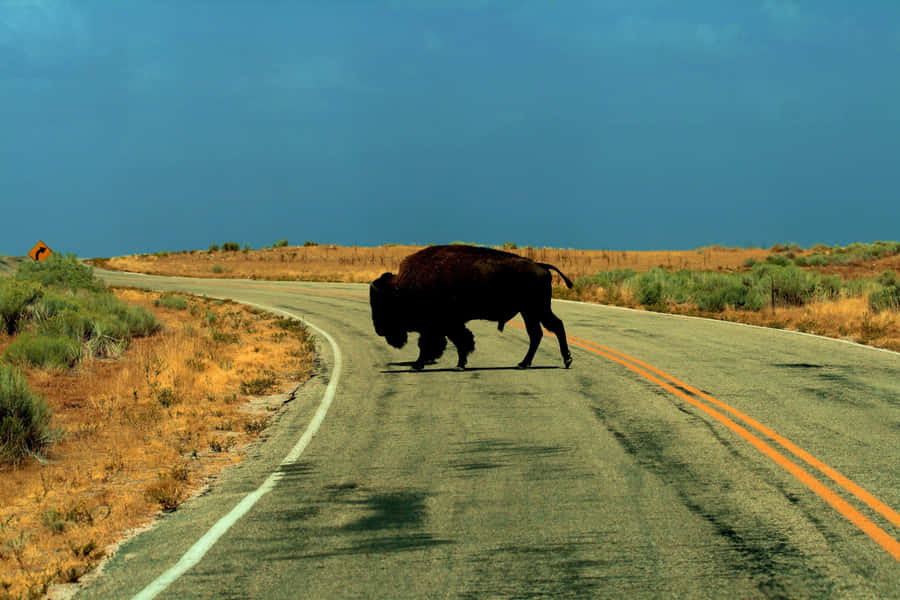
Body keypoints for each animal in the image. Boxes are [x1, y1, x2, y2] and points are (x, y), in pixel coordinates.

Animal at [370, 245, 574, 371]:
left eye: (384, 303)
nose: (379, 330)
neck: (402, 288)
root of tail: (540, 265)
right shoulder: (448, 324)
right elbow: (459, 340)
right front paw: (460, 364)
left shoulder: (438, 325)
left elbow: (434, 343)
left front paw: (418, 365)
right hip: (529, 312)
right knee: (537, 334)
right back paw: (523, 363)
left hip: (537, 309)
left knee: (555, 326)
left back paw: (566, 360)